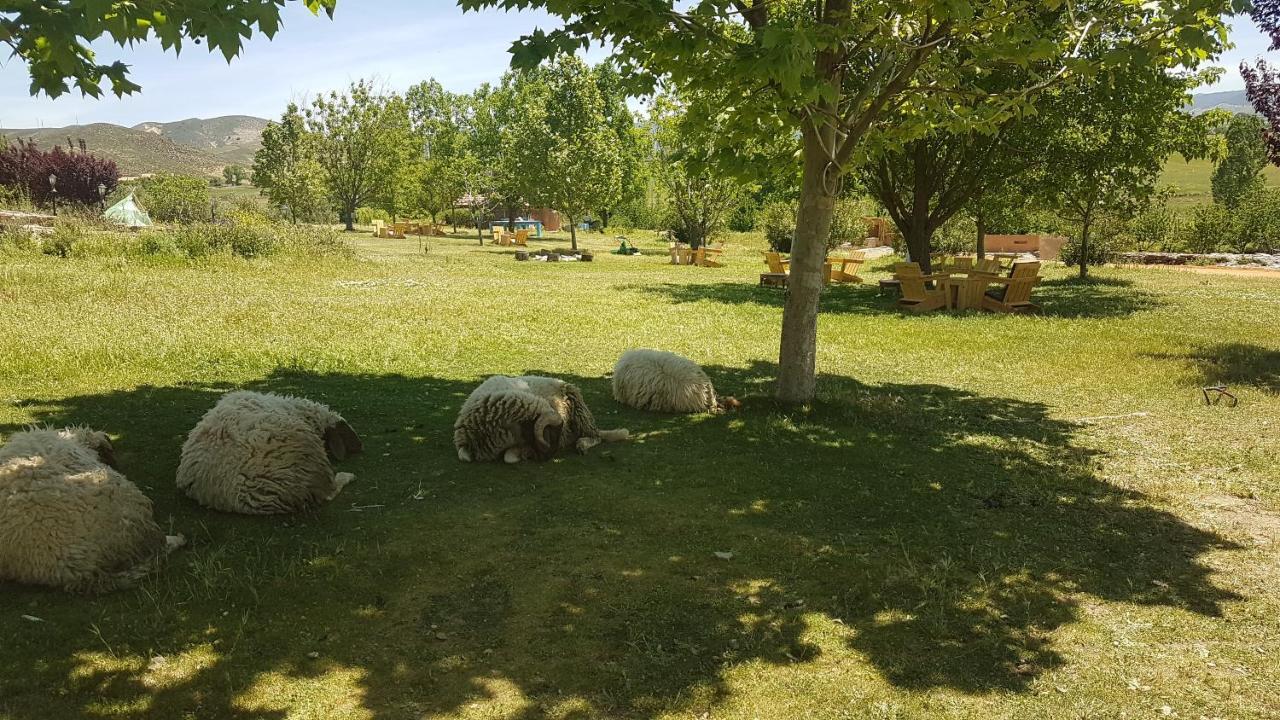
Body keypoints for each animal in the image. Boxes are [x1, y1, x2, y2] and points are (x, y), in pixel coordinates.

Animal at [455, 371, 629, 461]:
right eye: (551, 432)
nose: (553, 454)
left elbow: (509, 457)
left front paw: (524, 453)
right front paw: (524, 453)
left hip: (579, 409)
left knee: (596, 436)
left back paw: (582, 444)